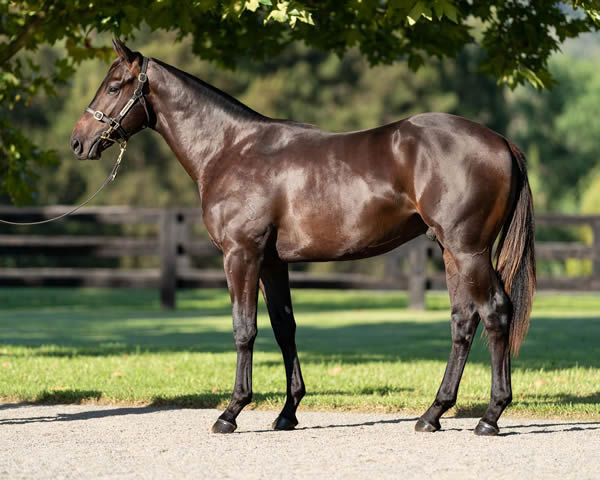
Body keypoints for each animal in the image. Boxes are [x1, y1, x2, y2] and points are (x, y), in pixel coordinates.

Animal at [70, 39, 536, 436]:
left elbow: (244, 329)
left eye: (114, 86)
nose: (78, 142)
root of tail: (502, 142)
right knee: (463, 321)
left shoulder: (241, 256)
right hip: (450, 251)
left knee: (495, 313)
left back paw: (490, 417)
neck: (230, 149)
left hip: (468, 250)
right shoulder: (273, 262)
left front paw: (231, 412)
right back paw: (432, 415)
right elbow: (284, 328)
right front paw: (287, 413)